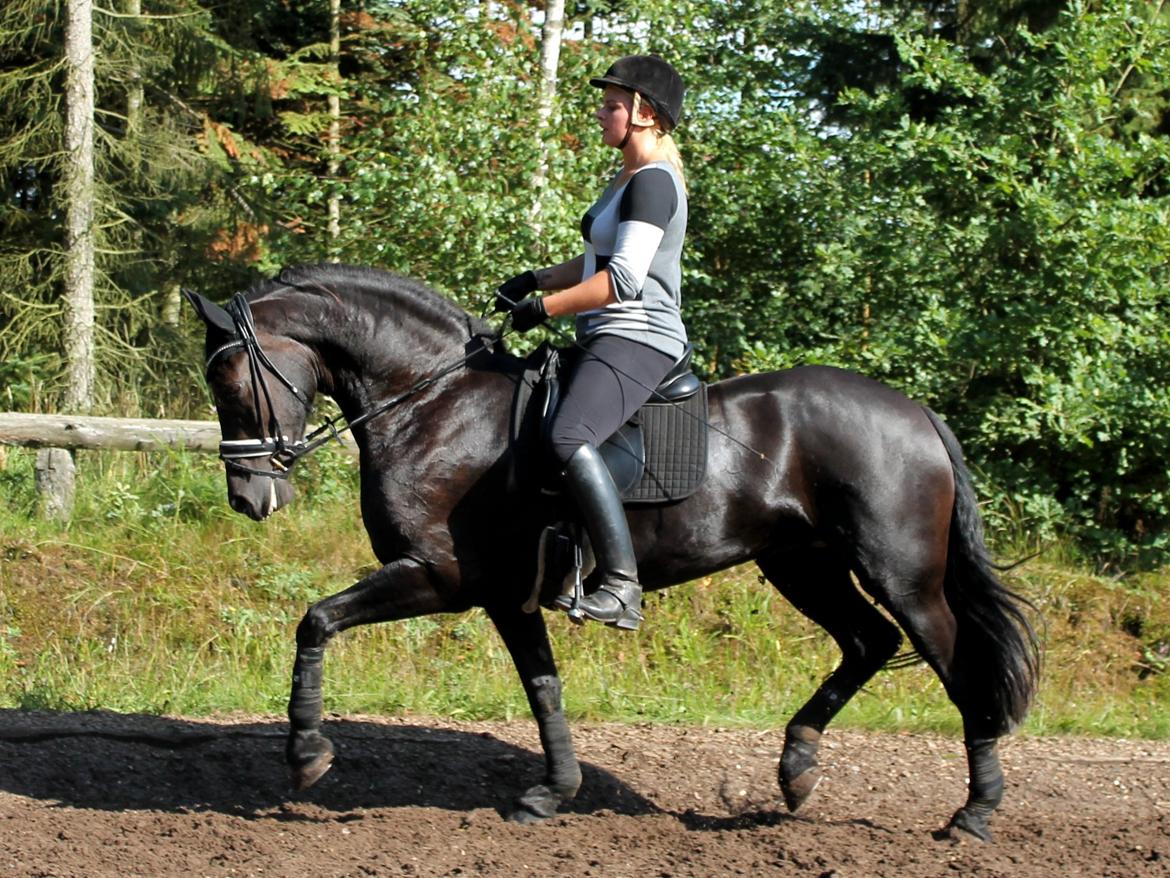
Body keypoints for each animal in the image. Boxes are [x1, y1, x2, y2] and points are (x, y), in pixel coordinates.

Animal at [187, 264, 1038, 842]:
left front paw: (306, 755)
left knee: (956, 665)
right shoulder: (507, 595)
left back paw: (974, 813)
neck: (434, 402)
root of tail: (915, 412)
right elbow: (543, 690)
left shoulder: (439, 577)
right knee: (869, 643)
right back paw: (796, 771)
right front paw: (552, 793)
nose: (250, 498)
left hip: (902, 572)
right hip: (803, 563)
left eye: (230, 384)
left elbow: (317, 620)